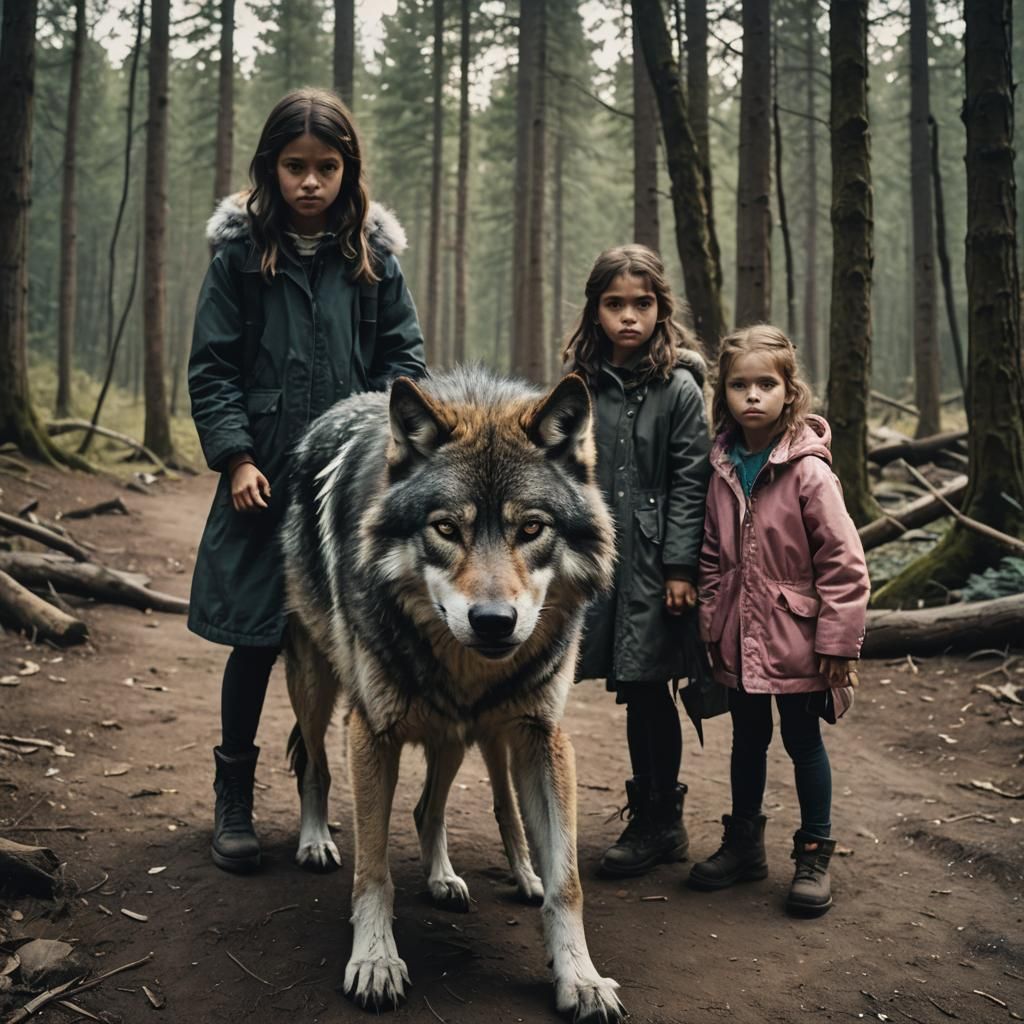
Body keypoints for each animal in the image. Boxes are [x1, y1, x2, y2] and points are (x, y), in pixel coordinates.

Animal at [280, 366, 624, 1022]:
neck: (469, 669)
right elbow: (373, 871)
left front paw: (582, 978)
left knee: (426, 808)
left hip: (455, 732)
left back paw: (444, 879)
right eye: (446, 528)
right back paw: (314, 841)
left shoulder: (542, 738)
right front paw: (375, 962)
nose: (493, 622)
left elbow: (567, 883)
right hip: (317, 686)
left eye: (531, 528)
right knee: (313, 766)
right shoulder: (373, 732)